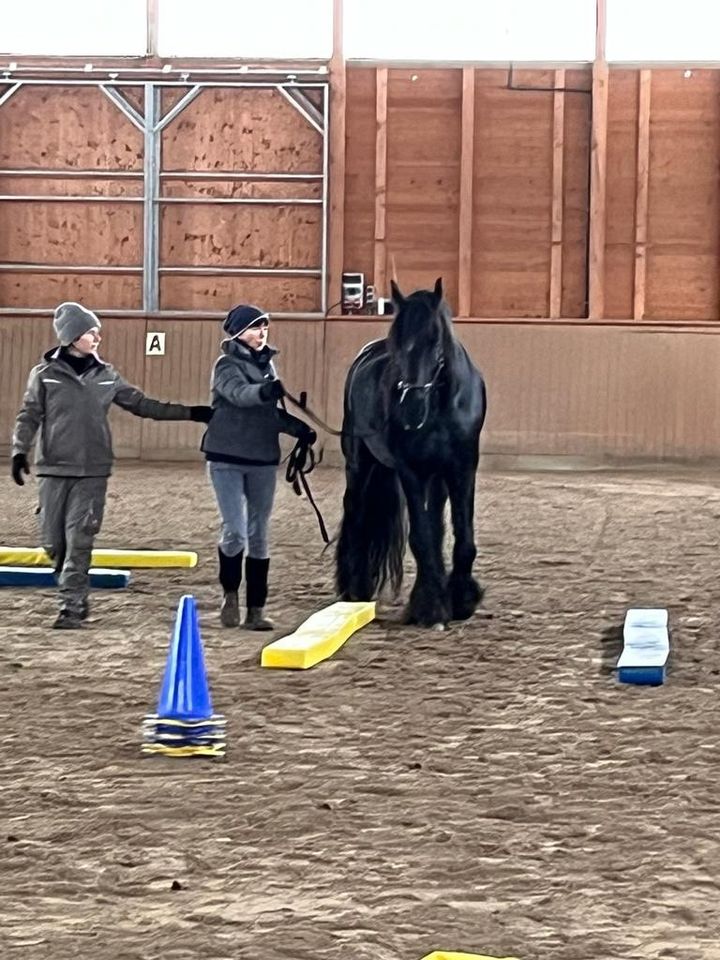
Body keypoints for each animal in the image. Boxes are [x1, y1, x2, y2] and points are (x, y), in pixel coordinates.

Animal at [334, 278, 486, 632]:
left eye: (435, 339)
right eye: (398, 341)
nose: (411, 408)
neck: (441, 406)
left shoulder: (462, 469)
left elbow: (461, 537)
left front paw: (461, 599)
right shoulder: (411, 471)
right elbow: (420, 537)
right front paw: (431, 607)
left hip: (436, 479)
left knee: (436, 526)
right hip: (360, 465)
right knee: (356, 514)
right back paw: (355, 589)